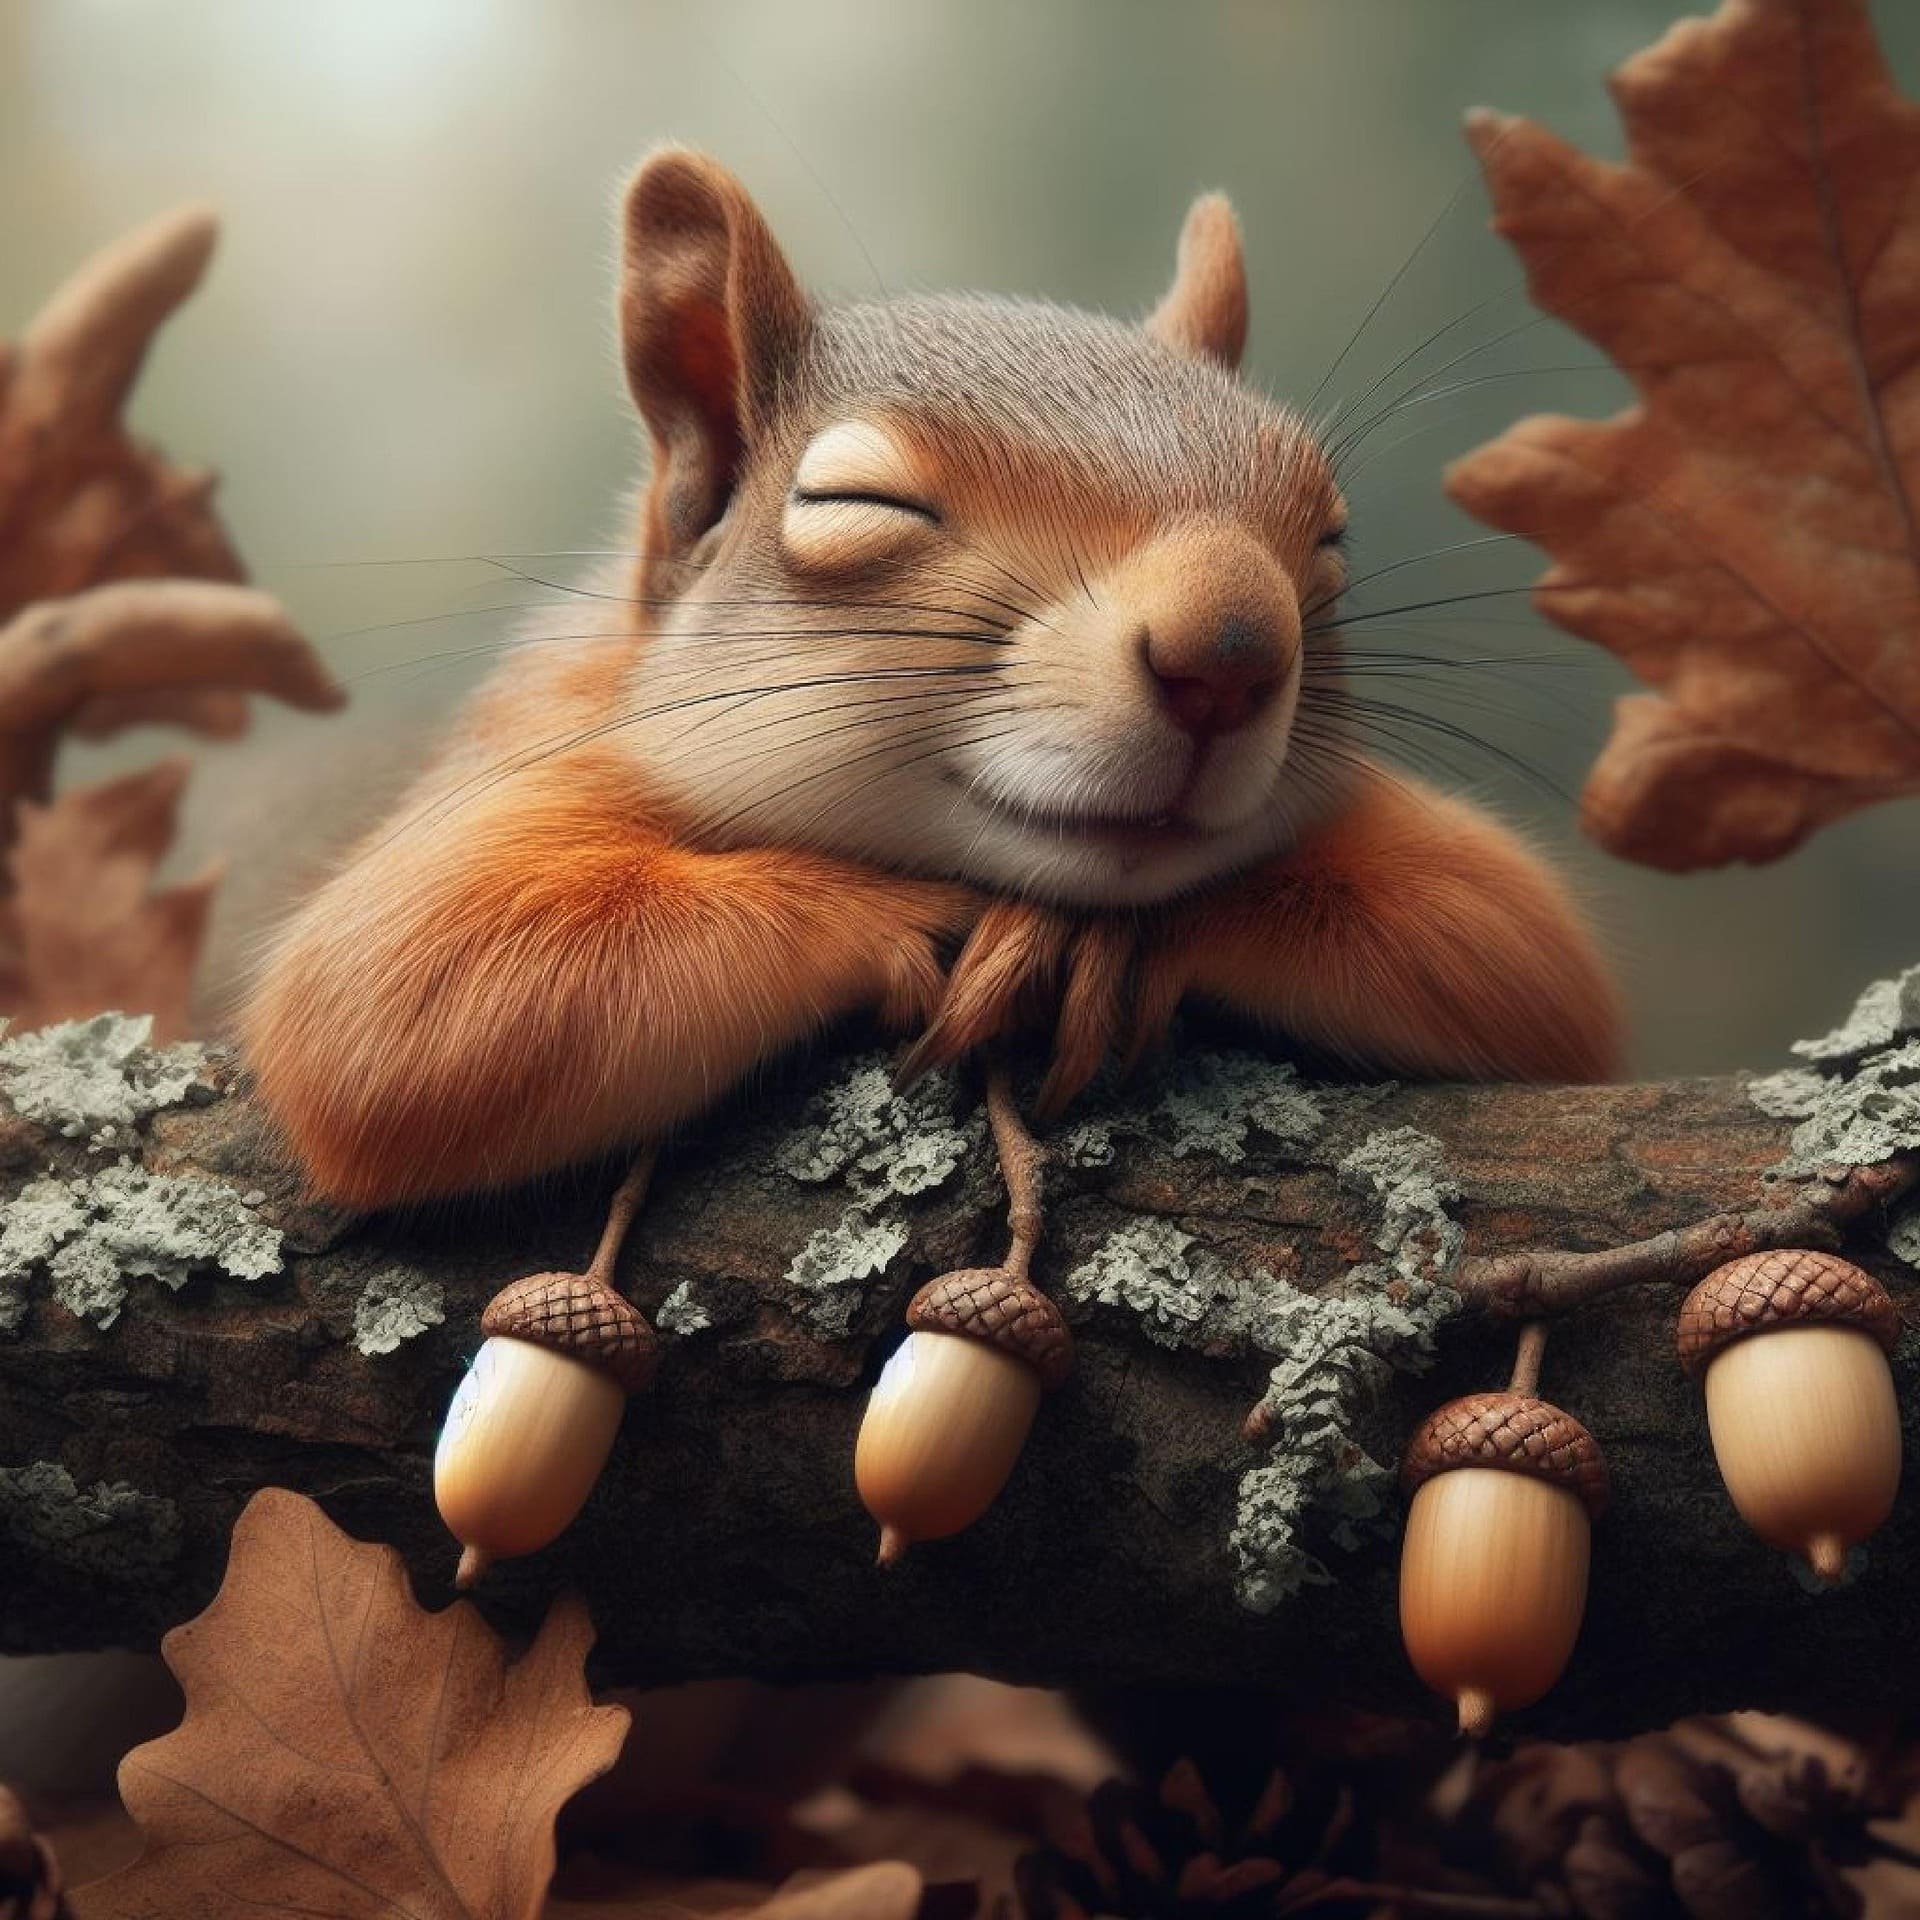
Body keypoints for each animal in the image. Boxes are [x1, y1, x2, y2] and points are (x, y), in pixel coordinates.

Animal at [241, 147, 1621, 1209]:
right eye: (859, 502)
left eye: (1330, 537)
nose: (1231, 652)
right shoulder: (528, 756)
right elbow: (393, 1009)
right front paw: (953, 923)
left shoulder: (1489, 930)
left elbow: (1518, 953)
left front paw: (1099, 936)